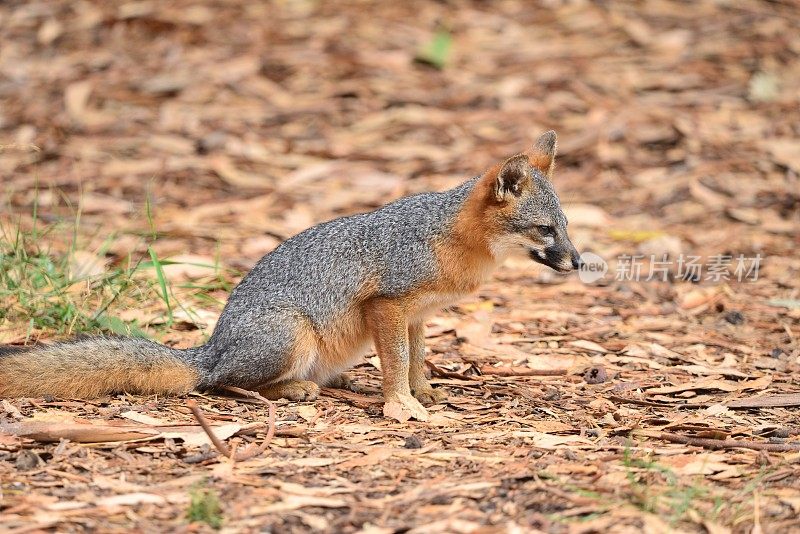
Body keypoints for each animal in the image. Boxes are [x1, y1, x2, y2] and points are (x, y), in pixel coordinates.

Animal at [0, 131, 580, 422]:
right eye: (545, 229)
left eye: (567, 226)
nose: (577, 262)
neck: (446, 237)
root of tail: (211, 347)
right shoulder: (387, 306)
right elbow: (395, 364)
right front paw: (402, 406)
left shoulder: (415, 315)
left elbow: (414, 358)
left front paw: (422, 392)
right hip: (291, 336)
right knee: (222, 384)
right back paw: (294, 390)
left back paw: (333, 381)